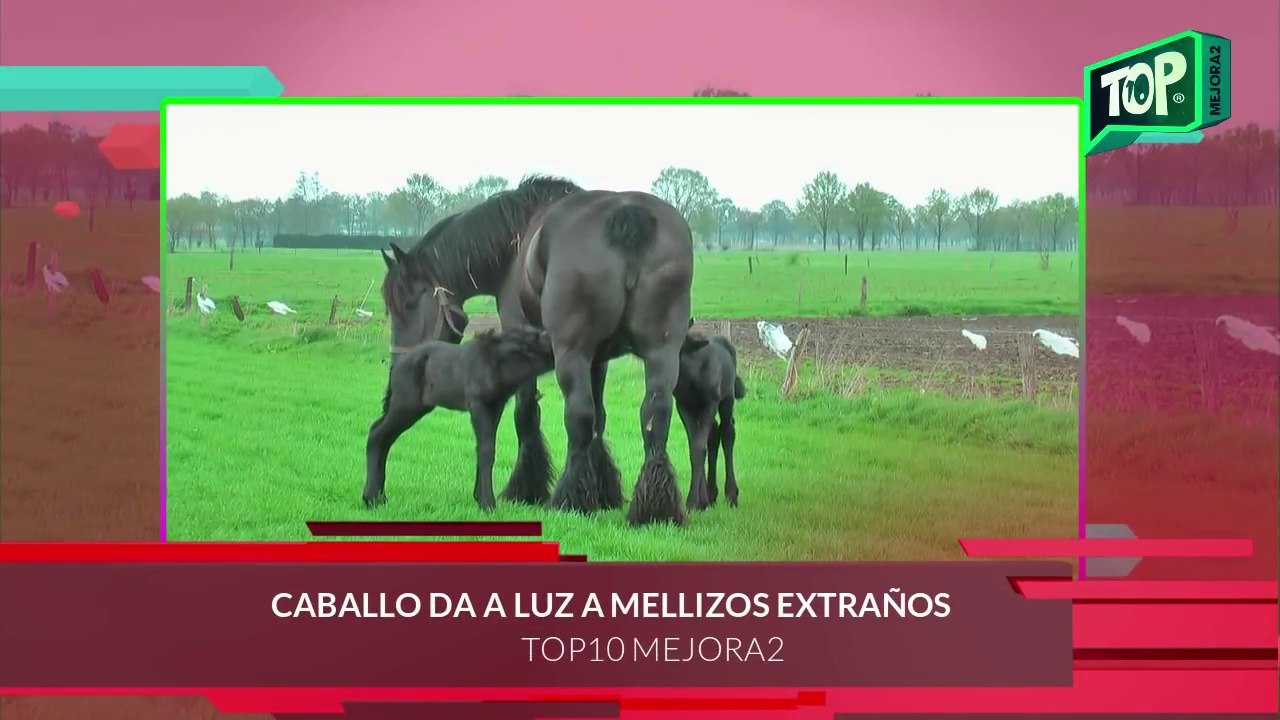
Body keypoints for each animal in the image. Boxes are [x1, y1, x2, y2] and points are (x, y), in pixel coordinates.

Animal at [366, 327, 556, 510]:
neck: (495, 362)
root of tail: (395, 366)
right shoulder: (478, 405)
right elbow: (487, 450)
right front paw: (488, 503)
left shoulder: (496, 407)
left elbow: (484, 448)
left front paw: (479, 498)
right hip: (406, 405)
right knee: (377, 434)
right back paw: (371, 498)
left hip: (414, 408)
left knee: (383, 437)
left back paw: (379, 497)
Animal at [675, 326, 747, 510]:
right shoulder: (683, 406)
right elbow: (695, 446)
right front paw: (701, 501)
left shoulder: (710, 403)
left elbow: (699, 447)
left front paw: (693, 502)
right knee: (714, 434)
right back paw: (712, 494)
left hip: (727, 399)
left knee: (727, 432)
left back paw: (731, 495)